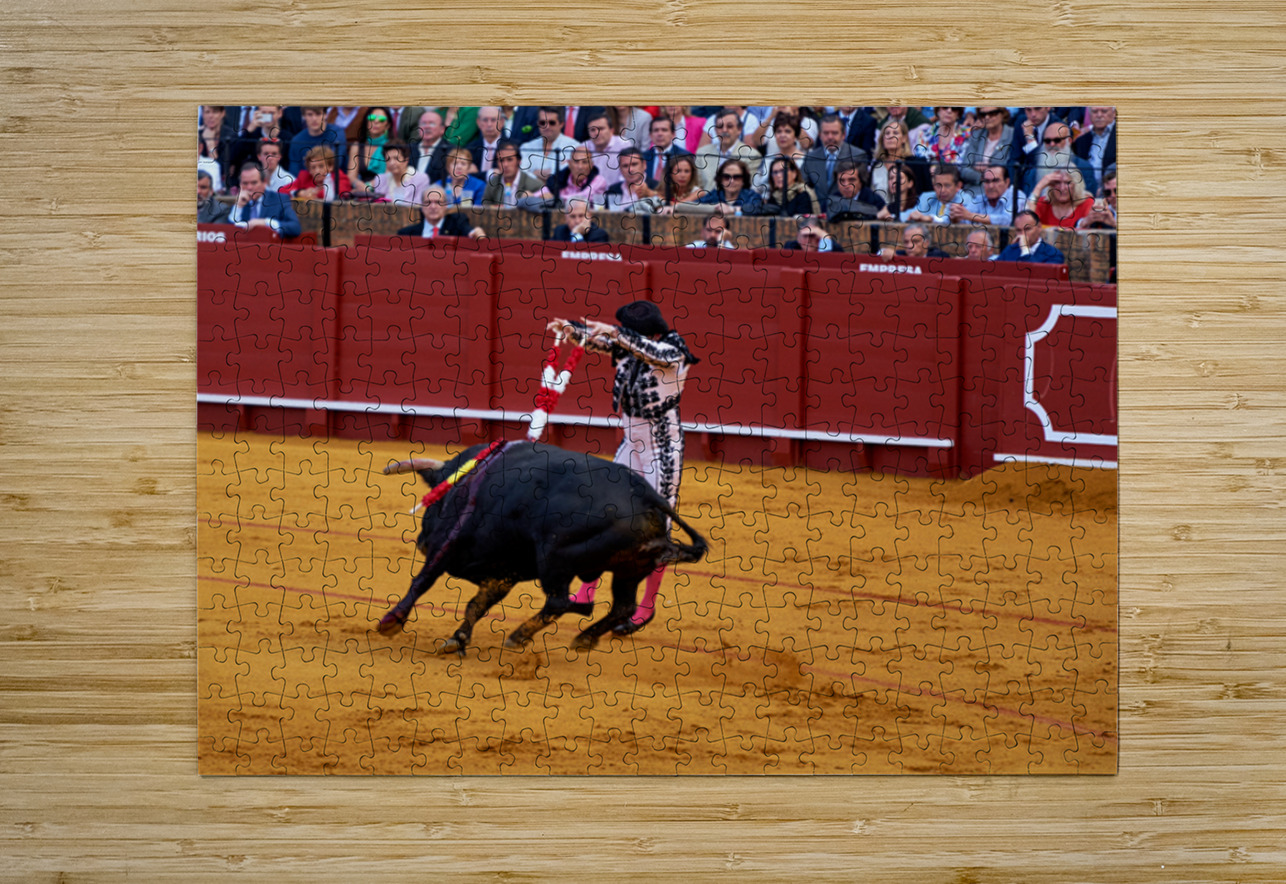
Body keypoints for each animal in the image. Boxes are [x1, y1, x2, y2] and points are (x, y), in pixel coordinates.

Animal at [378, 441, 708, 653]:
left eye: (434, 501)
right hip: (629, 569)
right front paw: (457, 639)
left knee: (560, 601)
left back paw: (520, 635)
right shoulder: (505, 570)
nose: (421, 542)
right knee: (621, 606)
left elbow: (423, 580)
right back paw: (584, 639)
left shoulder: (449, 543)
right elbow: (478, 603)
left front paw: (391, 621)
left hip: (554, 558)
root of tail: (647, 496)